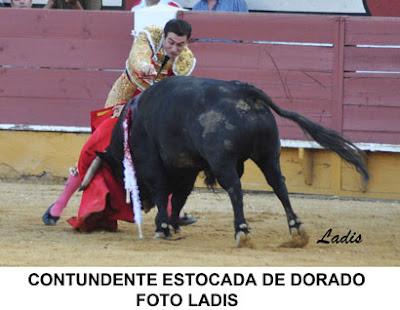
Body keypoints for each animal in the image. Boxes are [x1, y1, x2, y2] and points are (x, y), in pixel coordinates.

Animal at [100, 77, 368, 247]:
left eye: (120, 175)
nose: (142, 207)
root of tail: (244, 92)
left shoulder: (154, 164)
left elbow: (163, 191)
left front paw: (163, 227)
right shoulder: (187, 166)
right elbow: (178, 197)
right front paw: (173, 224)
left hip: (223, 162)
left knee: (235, 189)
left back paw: (242, 231)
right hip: (268, 155)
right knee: (279, 185)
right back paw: (296, 229)